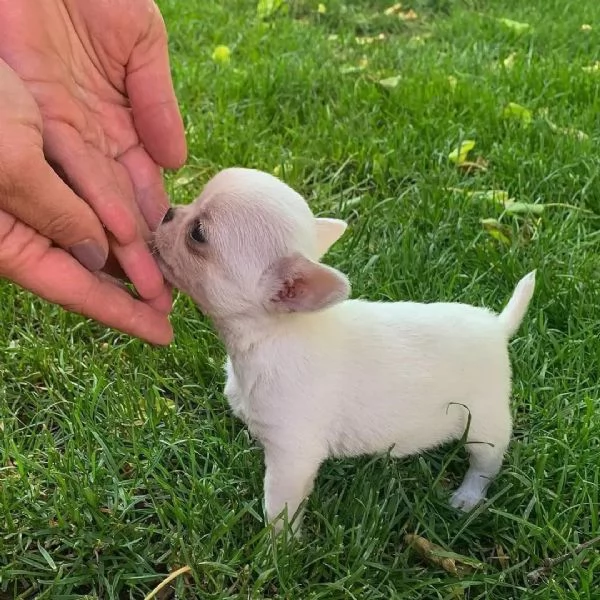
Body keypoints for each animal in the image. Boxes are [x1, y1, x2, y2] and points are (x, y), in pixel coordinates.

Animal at [152, 168, 536, 536]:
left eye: (198, 234)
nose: (167, 211)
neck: (274, 334)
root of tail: (496, 326)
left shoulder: (292, 458)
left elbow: (279, 507)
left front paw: (278, 548)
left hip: (482, 423)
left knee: (485, 462)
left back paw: (467, 496)